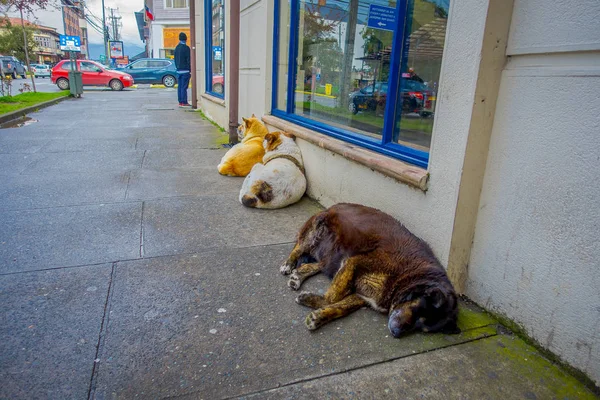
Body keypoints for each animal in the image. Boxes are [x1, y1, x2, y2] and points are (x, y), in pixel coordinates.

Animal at [282, 203, 460, 338]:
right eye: (417, 311)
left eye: (422, 327)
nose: (396, 333)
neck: (408, 276)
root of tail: (334, 205)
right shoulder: (353, 262)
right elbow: (332, 297)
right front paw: (314, 303)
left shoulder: (363, 295)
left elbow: (341, 308)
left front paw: (319, 316)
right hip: (316, 230)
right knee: (298, 248)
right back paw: (288, 264)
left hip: (333, 257)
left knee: (312, 265)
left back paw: (298, 276)